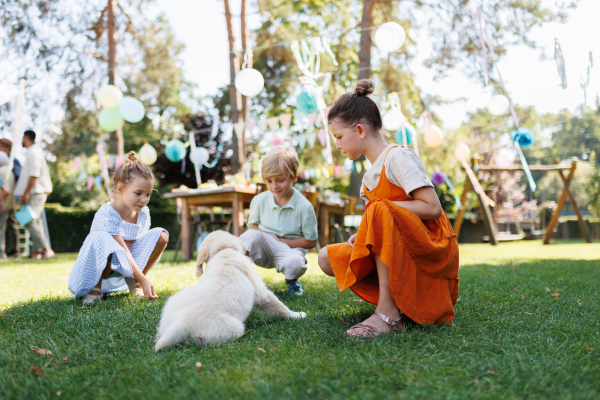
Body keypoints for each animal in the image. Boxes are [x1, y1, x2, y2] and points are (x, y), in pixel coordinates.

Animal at [156, 230, 304, 352]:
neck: (224, 251)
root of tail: (182, 323)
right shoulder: (261, 293)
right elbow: (279, 306)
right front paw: (298, 315)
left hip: (172, 303)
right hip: (234, 329)